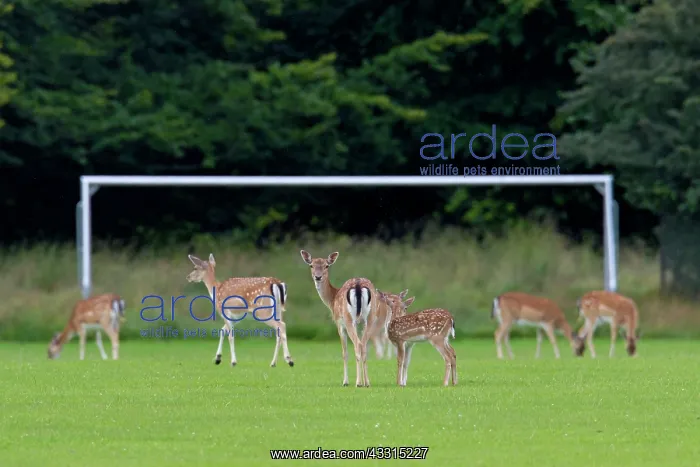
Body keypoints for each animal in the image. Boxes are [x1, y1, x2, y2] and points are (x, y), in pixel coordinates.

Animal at [299, 250, 377, 387]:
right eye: (311, 265)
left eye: (326, 266)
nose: (318, 277)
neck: (332, 299)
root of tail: (358, 285)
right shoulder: (359, 324)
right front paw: (364, 381)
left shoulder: (339, 324)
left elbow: (344, 353)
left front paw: (345, 382)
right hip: (370, 318)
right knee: (363, 346)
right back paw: (367, 382)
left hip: (348, 319)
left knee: (357, 345)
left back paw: (358, 383)